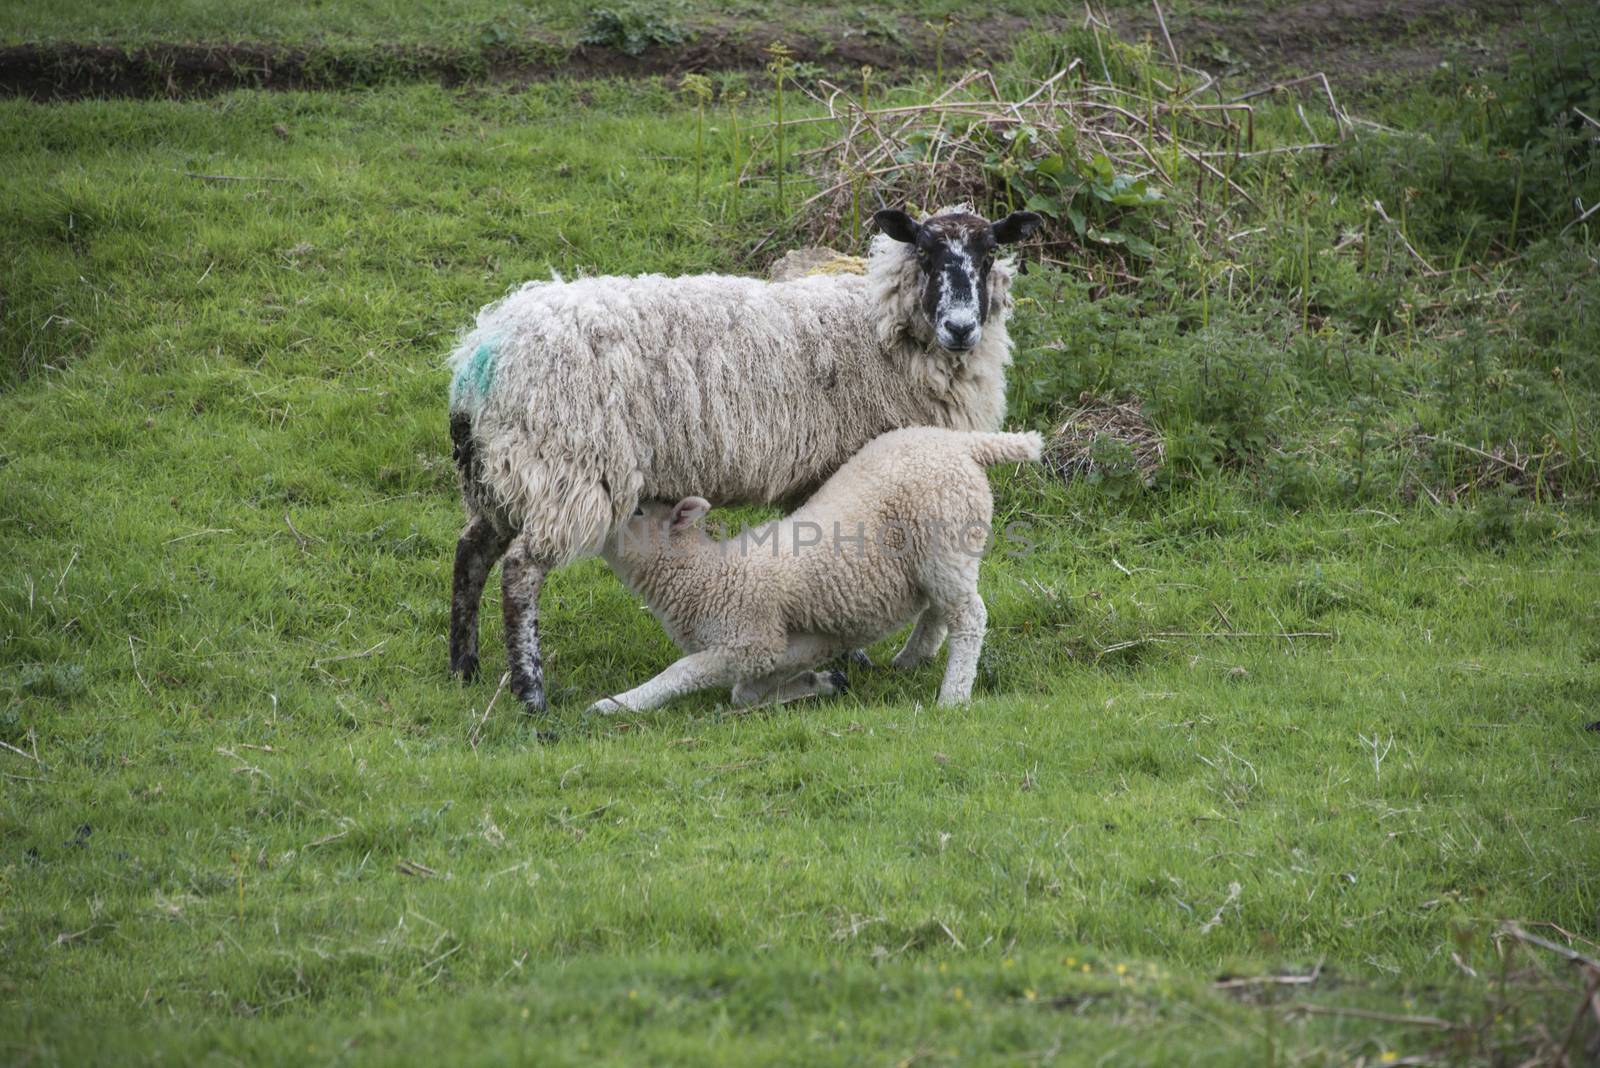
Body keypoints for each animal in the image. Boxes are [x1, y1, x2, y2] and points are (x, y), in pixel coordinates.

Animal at [588, 422, 1036, 713]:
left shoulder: (752, 639)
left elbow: (682, 673)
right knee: (938, 609)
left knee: (969, 615)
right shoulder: (795, 643)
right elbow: (746, 691)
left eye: (638, 511)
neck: (708, 575)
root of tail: (962, 443)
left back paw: (953, 697)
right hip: (933, 561)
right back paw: (911, 658)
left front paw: (618, 704)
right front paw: (818, 683)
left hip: (946, 539)